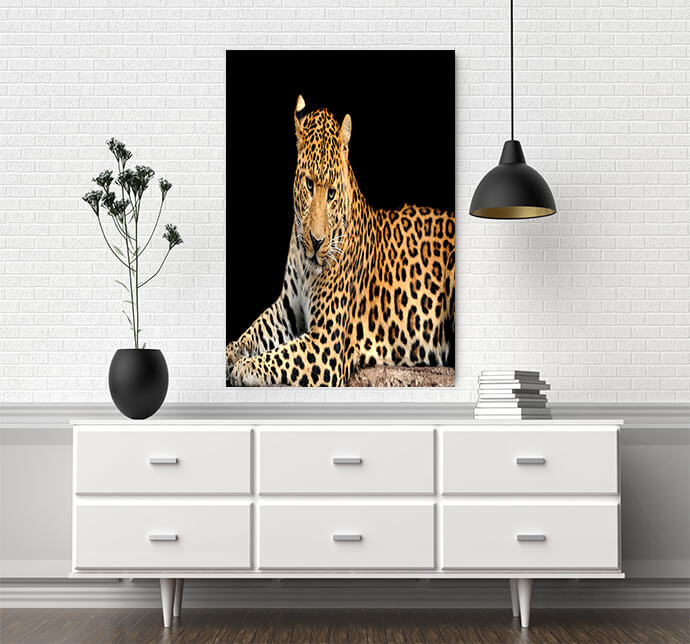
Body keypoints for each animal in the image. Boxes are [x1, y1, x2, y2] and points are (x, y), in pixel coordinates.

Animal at [226, 95, 455, 386]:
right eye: (309, 185)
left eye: (332, 193)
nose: (316, 241)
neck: (305, 262)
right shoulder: (286, 309)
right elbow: (254, 331)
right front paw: (230, 353)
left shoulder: (326, 343)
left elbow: (282, 356)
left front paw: (246, 367)